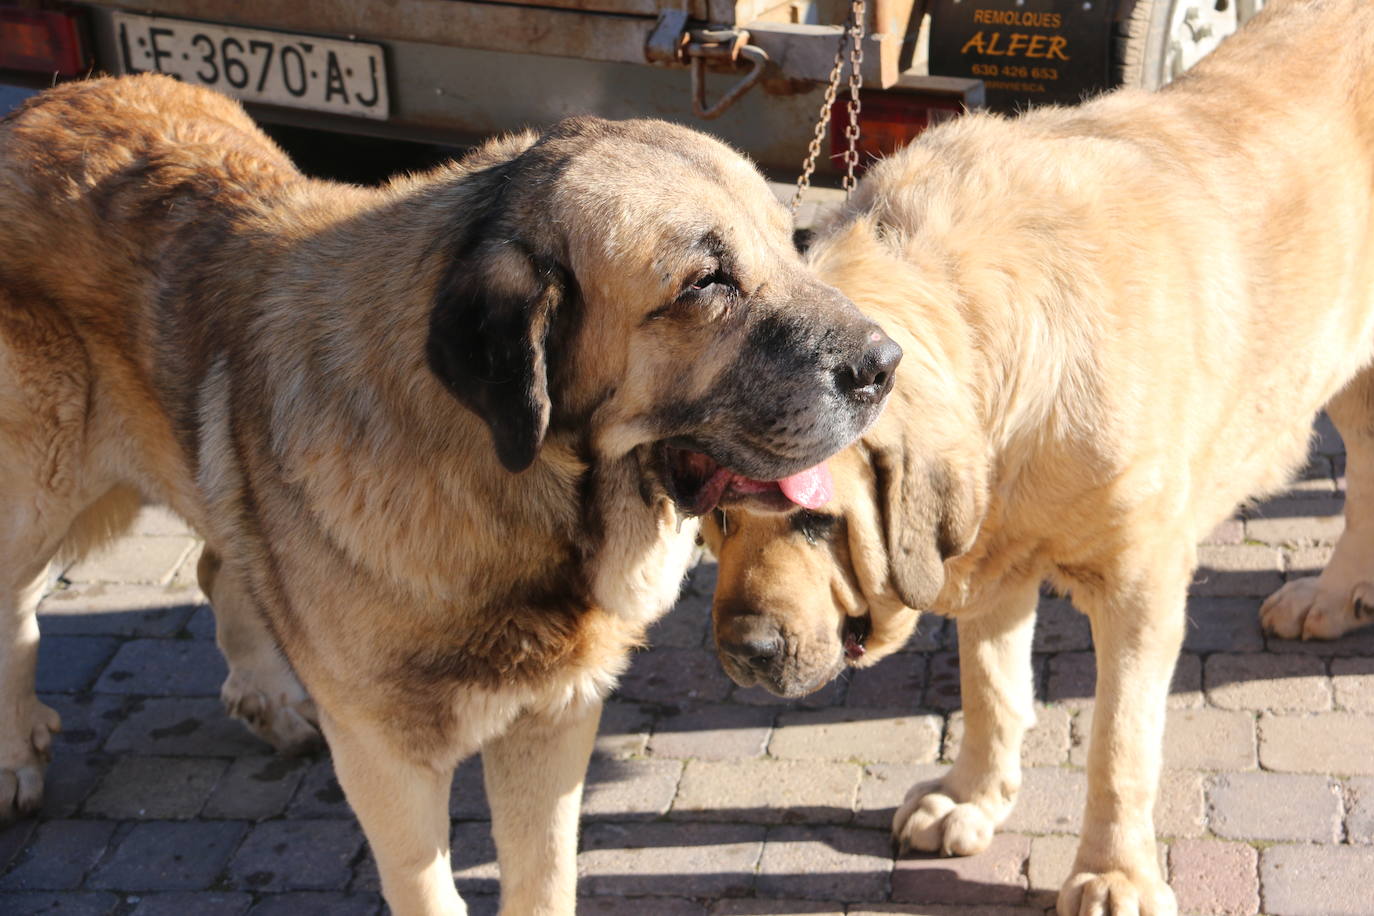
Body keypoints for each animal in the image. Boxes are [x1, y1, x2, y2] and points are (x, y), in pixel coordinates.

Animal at [703, 3, 1374, 911]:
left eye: (816, 520)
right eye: (719, 517)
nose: (746, 652)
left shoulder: (1141, 582)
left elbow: (1120, 744)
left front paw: (1114, 873)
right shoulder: (990, 554)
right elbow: (990, 686)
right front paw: (970, 797)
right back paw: (1334, 598)